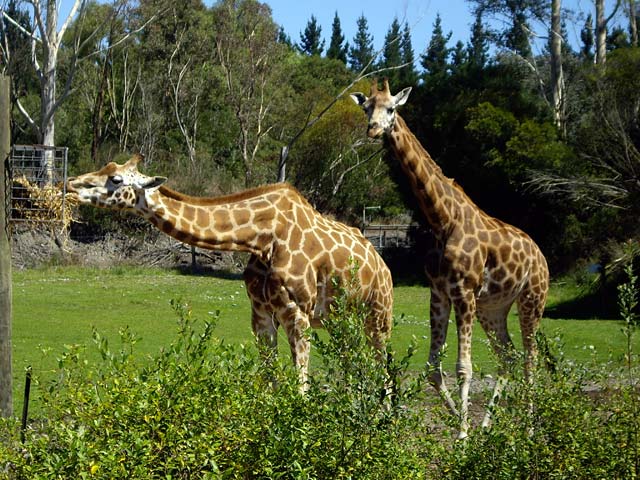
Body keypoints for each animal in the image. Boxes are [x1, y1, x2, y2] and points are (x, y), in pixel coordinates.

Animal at [66, 154, 394, 389]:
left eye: (115, 179)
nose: (70, 184)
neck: (262, 238)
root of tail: (382, 263)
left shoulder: (297, 312)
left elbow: (299, 385)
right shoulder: (261, 314)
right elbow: (269, 382)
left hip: (378, 317)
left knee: (383, 370)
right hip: (343, 322)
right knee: (353, 367)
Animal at [352, 79, 549, 439]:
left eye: (392, 108)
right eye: (367, 107)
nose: (373, 129)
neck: (443, 218)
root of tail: (540, 254)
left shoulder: (464, 291)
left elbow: (463, 368)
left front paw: (462, 435)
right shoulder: (440, 292)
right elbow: (433, 368)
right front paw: (464, 423)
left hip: (532, 299)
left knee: (530, 358)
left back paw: (527, 431)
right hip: (493, 308)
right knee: (508, 356)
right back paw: (487, 426)